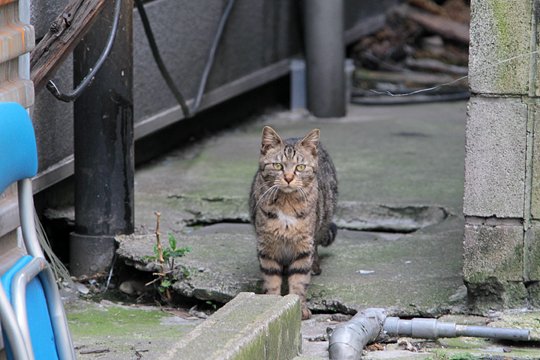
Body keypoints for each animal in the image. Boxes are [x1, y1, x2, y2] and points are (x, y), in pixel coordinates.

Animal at [249, 125, 338, 320]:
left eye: (300, 167)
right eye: (278, 165)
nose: (289, 177)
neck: (286, 203)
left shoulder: (303, 246)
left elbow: (299, 281)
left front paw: (300, 307)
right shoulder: (267, 246)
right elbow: (271, 280)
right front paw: (272, 303)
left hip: (322, 221)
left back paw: (315, 265)